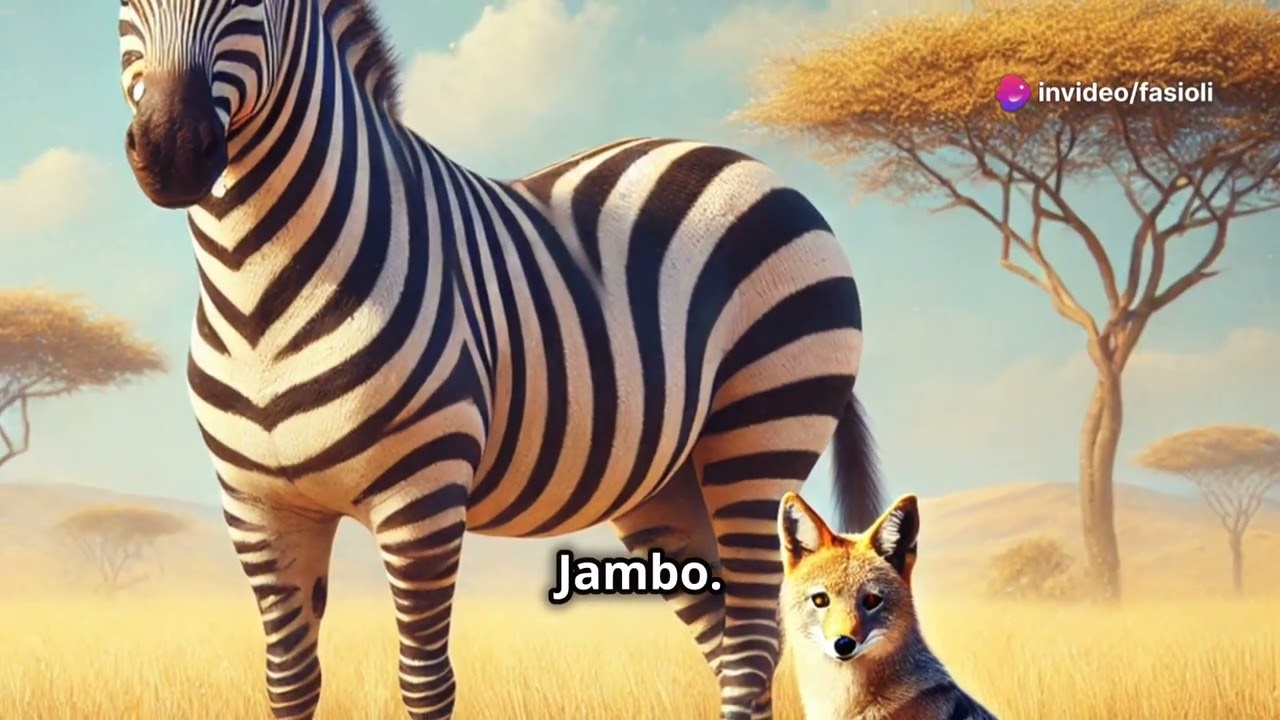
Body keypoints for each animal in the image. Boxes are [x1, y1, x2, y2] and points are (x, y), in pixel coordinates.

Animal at [115, 1, 883, 719]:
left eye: (253, 2)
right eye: (126, 5)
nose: (172, 150)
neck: (258, 294)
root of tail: (743, 161)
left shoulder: (422, 496)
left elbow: (426, 685)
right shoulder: (258, 507)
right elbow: (290, 685)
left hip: (762, 430)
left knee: (750, 642)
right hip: (668, 484)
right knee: (737, 643)